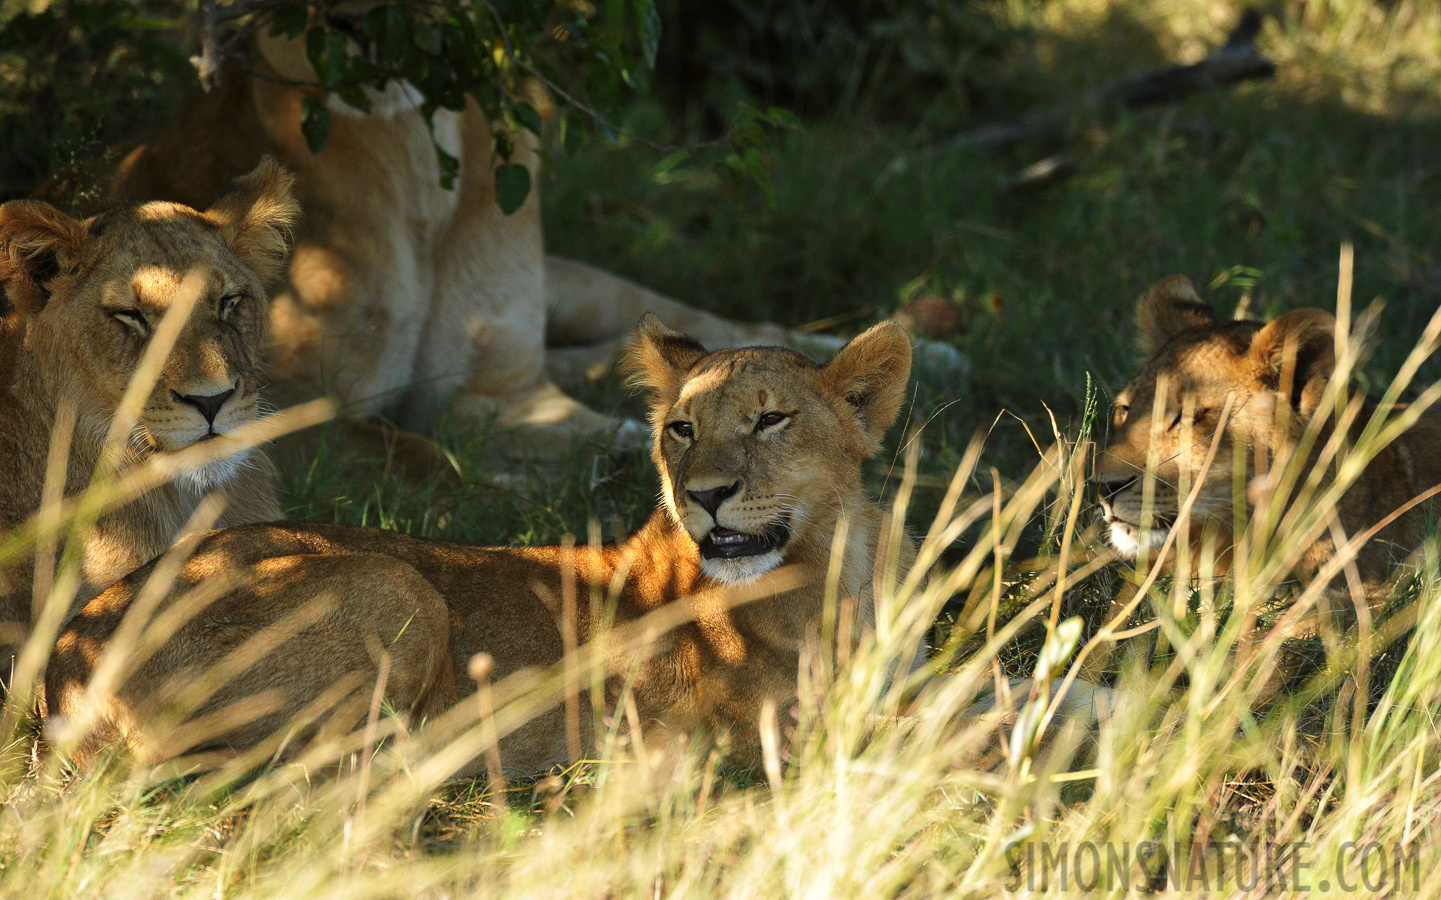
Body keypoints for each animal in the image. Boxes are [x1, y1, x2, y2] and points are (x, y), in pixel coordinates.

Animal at [47, 315, 922, 771]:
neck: (842, 559)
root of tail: (62, 666)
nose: (702, 496)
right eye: (681, 430)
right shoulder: (776, 736)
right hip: (396, 586)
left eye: (770, 419)